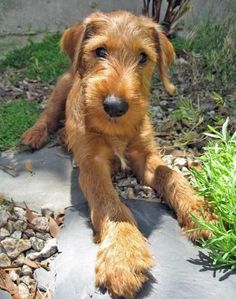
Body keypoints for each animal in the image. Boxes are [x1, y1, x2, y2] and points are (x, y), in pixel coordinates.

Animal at [21, 10, 214, 298]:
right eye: (100, 51)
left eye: (143, 57)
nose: (115, 106)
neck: (115, 132)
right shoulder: (92, 165)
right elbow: (110, 203)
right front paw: (123, 255)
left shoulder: (145, 155)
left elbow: (171, 175)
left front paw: (199, 211)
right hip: (62, 87)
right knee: (49, 113)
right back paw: (35, 134)